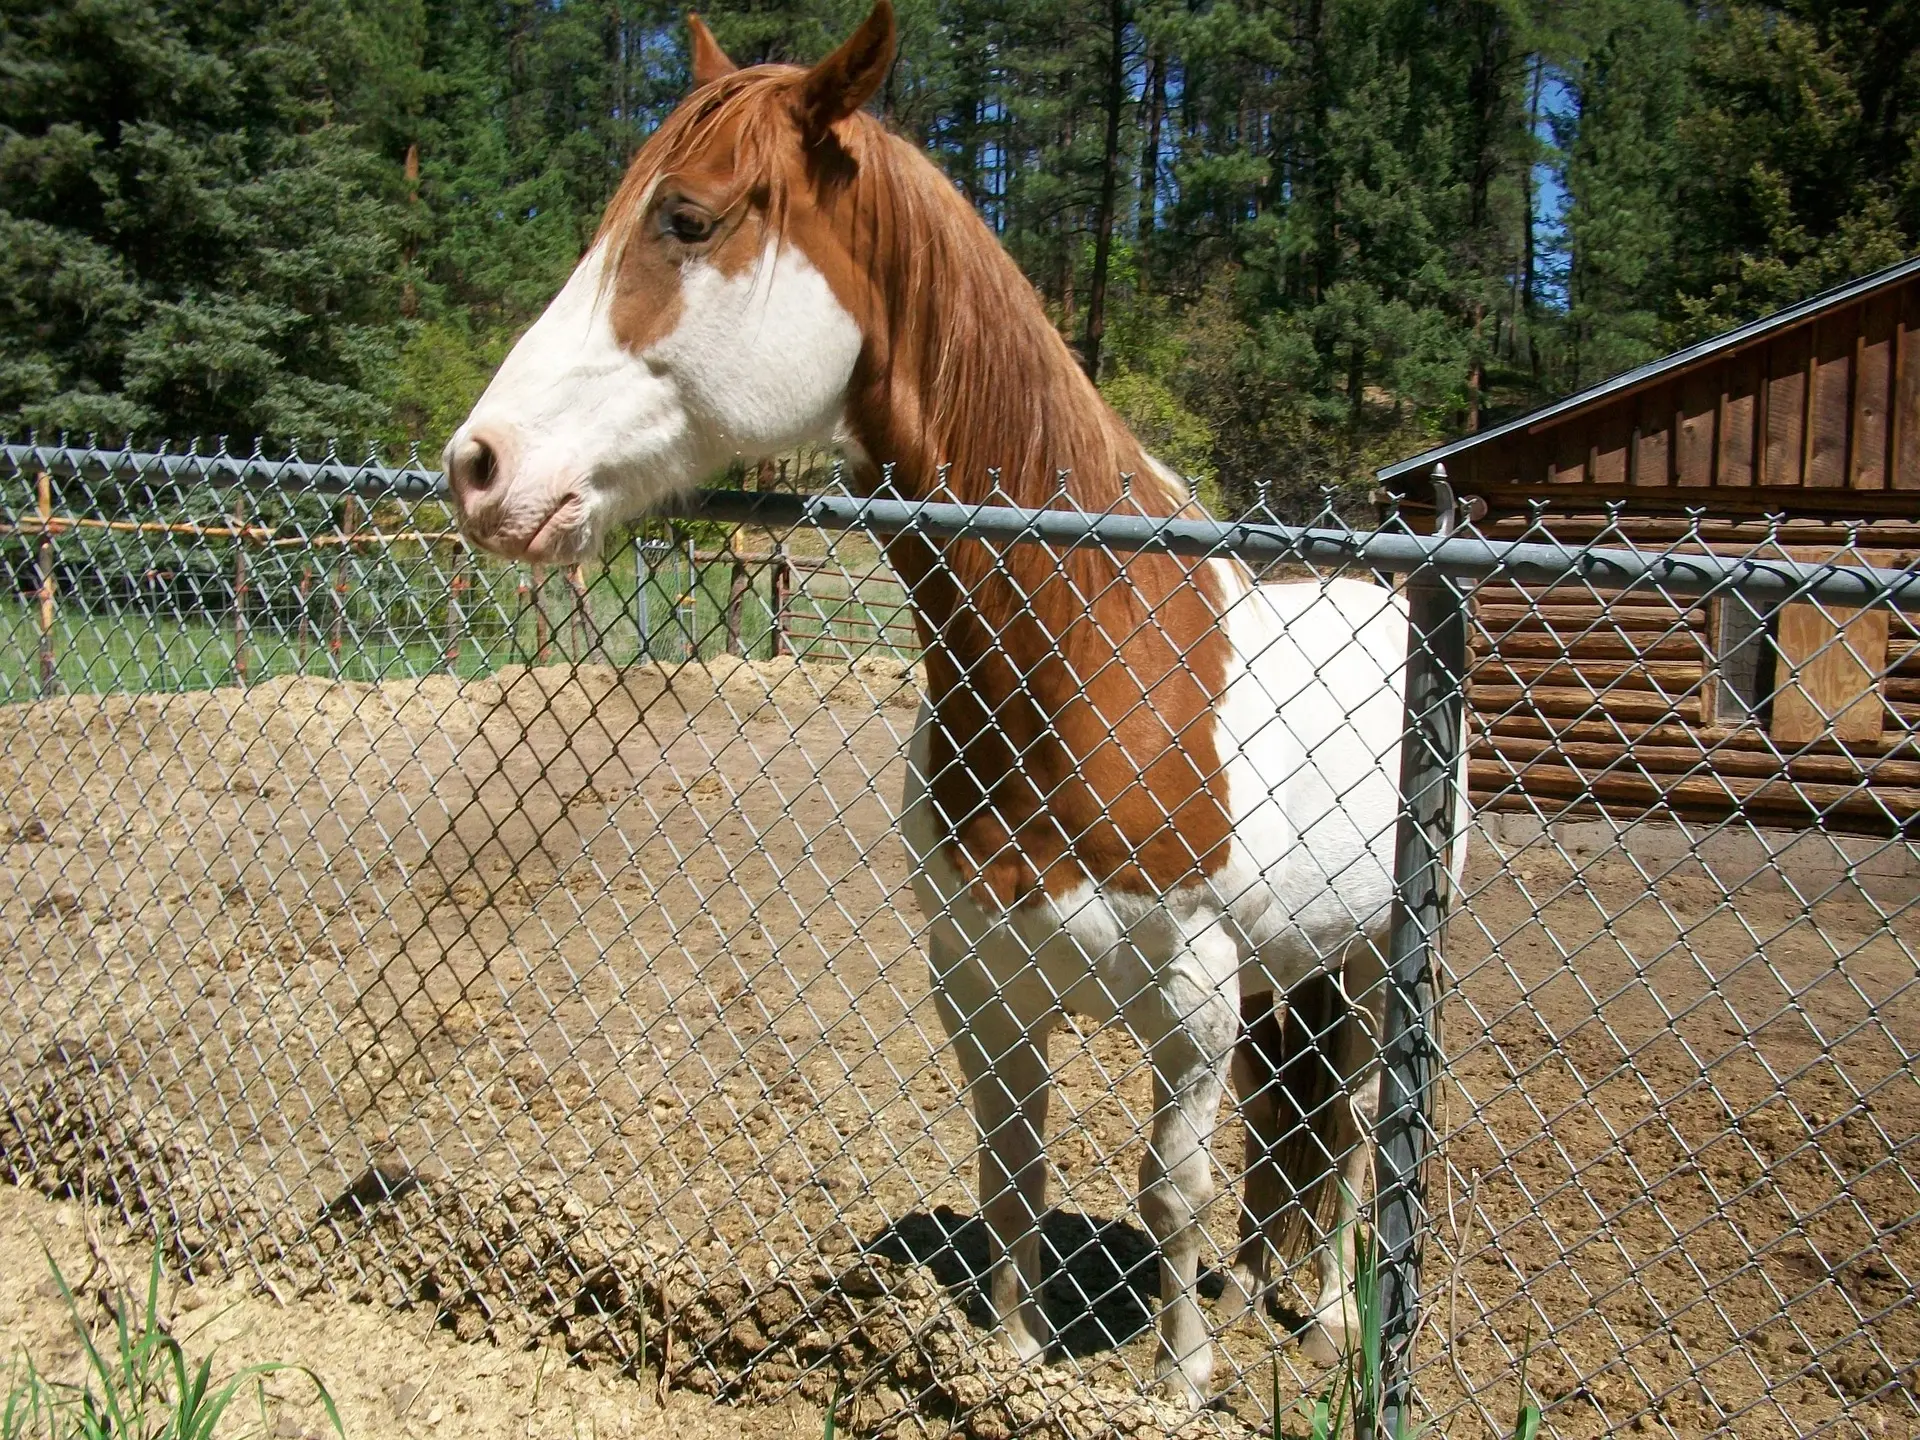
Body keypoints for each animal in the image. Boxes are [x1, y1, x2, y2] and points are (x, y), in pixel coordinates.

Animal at [439, 2, 1413, 1413]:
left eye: (687, 218)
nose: (478, 466)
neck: (1087, 651)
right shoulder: (980, 987)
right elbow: (1011, 1181)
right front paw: (1009, 1358)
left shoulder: (1192, 997)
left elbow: (1168, 1194)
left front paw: (1181, 1383)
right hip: (1301, 970)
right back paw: (1261, 1282)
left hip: (1379, 963)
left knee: (1358, 1132)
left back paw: (1331, 1312)